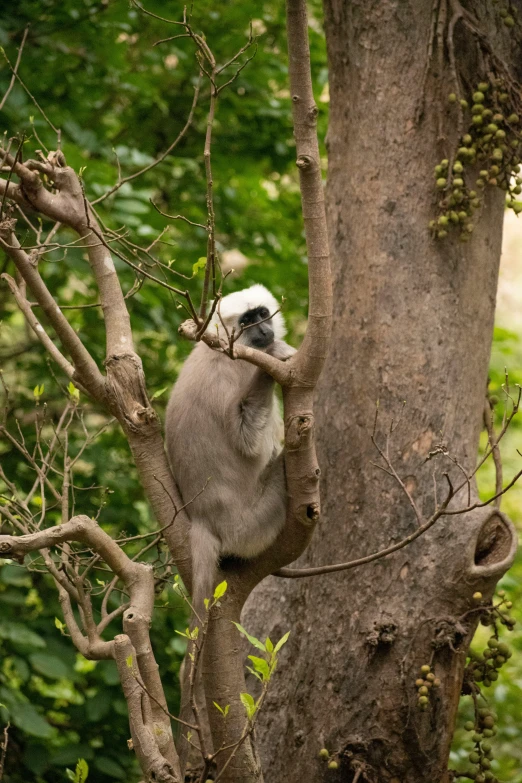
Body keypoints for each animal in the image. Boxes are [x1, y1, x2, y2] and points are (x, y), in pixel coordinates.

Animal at [165, 284, 294, 612]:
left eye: (262, 313)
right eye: (246, 322)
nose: (264, 331)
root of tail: (202, 519)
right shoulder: (234, 368)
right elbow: (247, 439)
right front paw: (277, 356)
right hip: (252, 526)